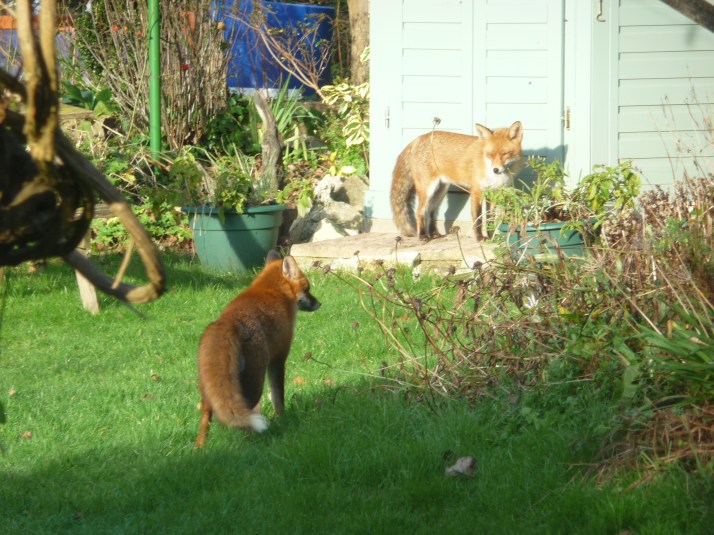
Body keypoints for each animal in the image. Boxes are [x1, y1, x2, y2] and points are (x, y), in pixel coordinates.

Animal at [195, 250, 320, 448]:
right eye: (307, 288)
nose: (319, 303)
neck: (272, 290)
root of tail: (226, 323)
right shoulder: (278, 359)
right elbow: (278, 397)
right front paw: (282, 419)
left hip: (208, 389)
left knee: (206, 416)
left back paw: (199, 447)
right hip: (255, 383)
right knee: (246, 416)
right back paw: (250, 444)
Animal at [390, 121, 524, 241]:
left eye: (505, 154)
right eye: (490, 154)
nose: (495, 170)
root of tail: (418, 139)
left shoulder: (492, 194)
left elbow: (490, 218)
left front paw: (490, 238)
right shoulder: (476, 191)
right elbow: (478, 218)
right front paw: (480, 238)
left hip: (440, 191)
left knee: (430, 212)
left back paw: (434, 234)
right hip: (428, 190)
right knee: (420, 212)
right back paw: (422, 236)